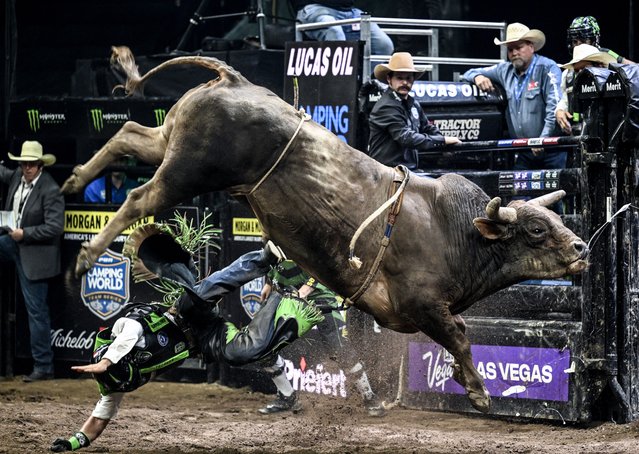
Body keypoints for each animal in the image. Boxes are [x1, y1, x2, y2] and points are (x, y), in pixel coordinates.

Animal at [61, 45, 592, 412]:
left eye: (557, 220)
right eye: (537, 230)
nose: (582, 247)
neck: (457, 232)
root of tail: (236, 80)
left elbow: (454, 340)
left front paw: (464, 383)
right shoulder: (421, 304)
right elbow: (458, 335)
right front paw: (479, 393)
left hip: (174, 145)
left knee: (130, 135)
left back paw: (74, 178)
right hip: (190, 171)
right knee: (137, 197)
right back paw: (85, 256)